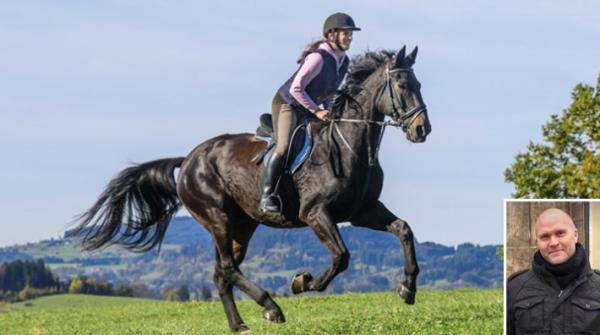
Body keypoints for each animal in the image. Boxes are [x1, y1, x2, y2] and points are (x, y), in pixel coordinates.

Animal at [75, 45, 432, 334]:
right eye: (402, 85)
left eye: (419, 85)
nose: (422, 130)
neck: (347, 146)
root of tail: (188, 159)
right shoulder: (316, 213)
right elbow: (341, 257)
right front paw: (302, 282)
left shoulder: (363, 211)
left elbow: (404, 230)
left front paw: (408, 289)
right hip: (217, 217)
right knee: (228, 269)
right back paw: (271, 307)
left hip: (242, 226)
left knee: (221, 273)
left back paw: (240, 324)